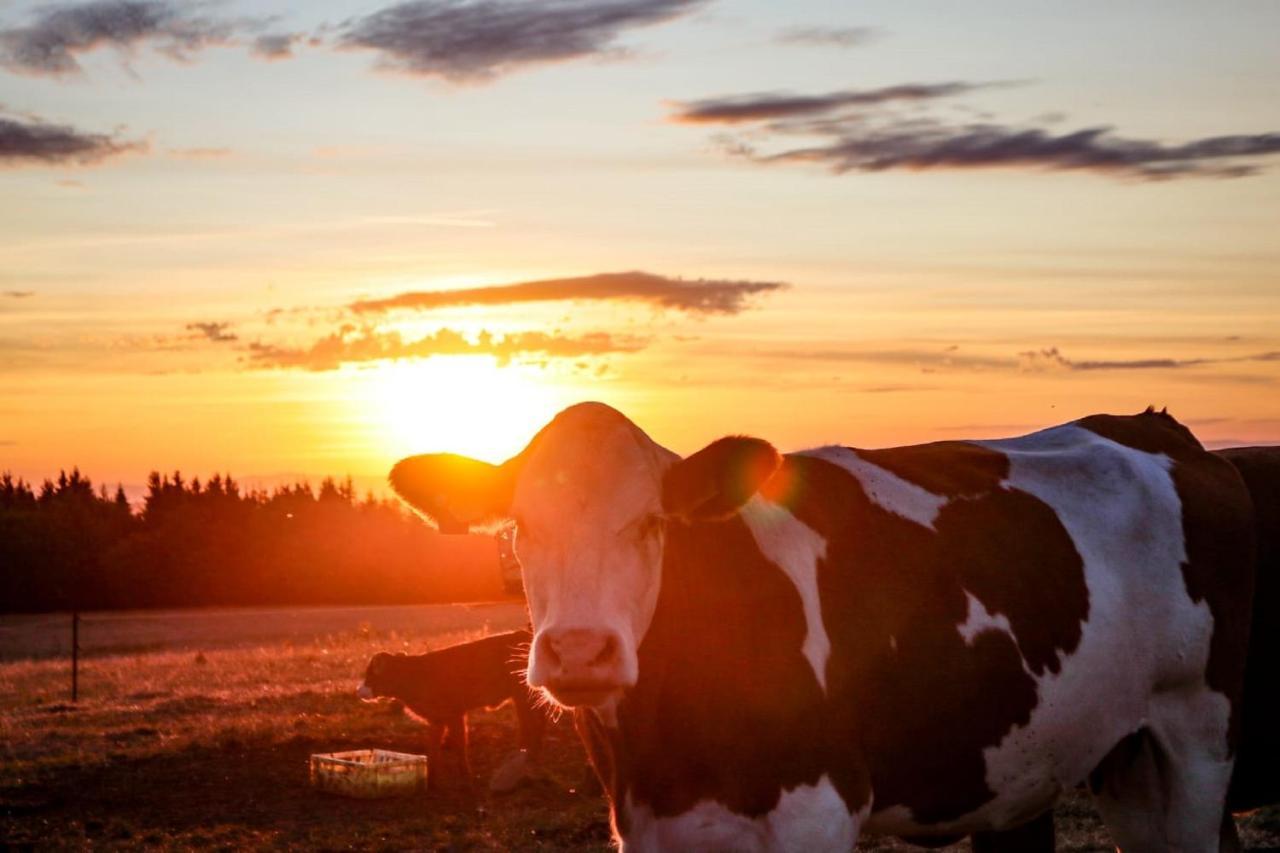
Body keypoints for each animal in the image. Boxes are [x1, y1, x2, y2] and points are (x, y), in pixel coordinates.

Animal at [358, 625, 547, 788]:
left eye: (370, 674)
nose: (358, 690)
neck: (415, 677)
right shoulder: (437, 719)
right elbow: (433, 748)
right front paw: (431, 780)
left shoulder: (455, 714)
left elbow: (459, 745)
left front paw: (466, 777)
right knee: (537, 721)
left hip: (522, 695)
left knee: (530, 724)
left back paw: (525, 757)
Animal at [386, 402, 1249, 845]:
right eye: (521, 527)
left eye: (651, 524)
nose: (578, 651)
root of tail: (1156, 430)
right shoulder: (649, 826)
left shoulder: (818, 807)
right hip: (1127, 755)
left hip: (1196, 736)